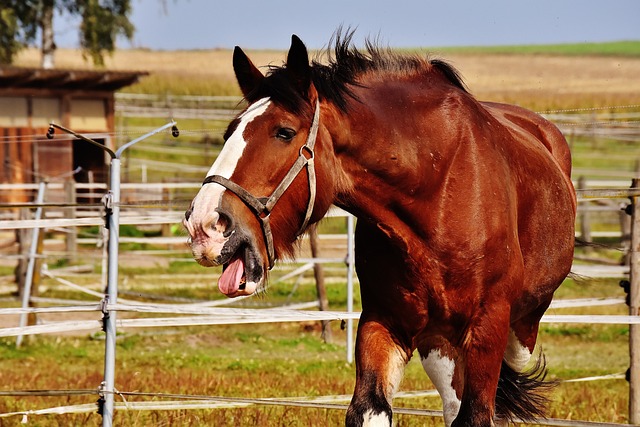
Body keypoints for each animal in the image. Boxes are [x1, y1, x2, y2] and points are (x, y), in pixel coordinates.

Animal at [182, 31, 576, 426]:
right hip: (439, 343)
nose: (204, 225)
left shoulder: (487, 327)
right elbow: (371, 408)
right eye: (229, 132)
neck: (437, 188)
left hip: (517, 333)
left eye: (284, 132)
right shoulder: (382, 322)